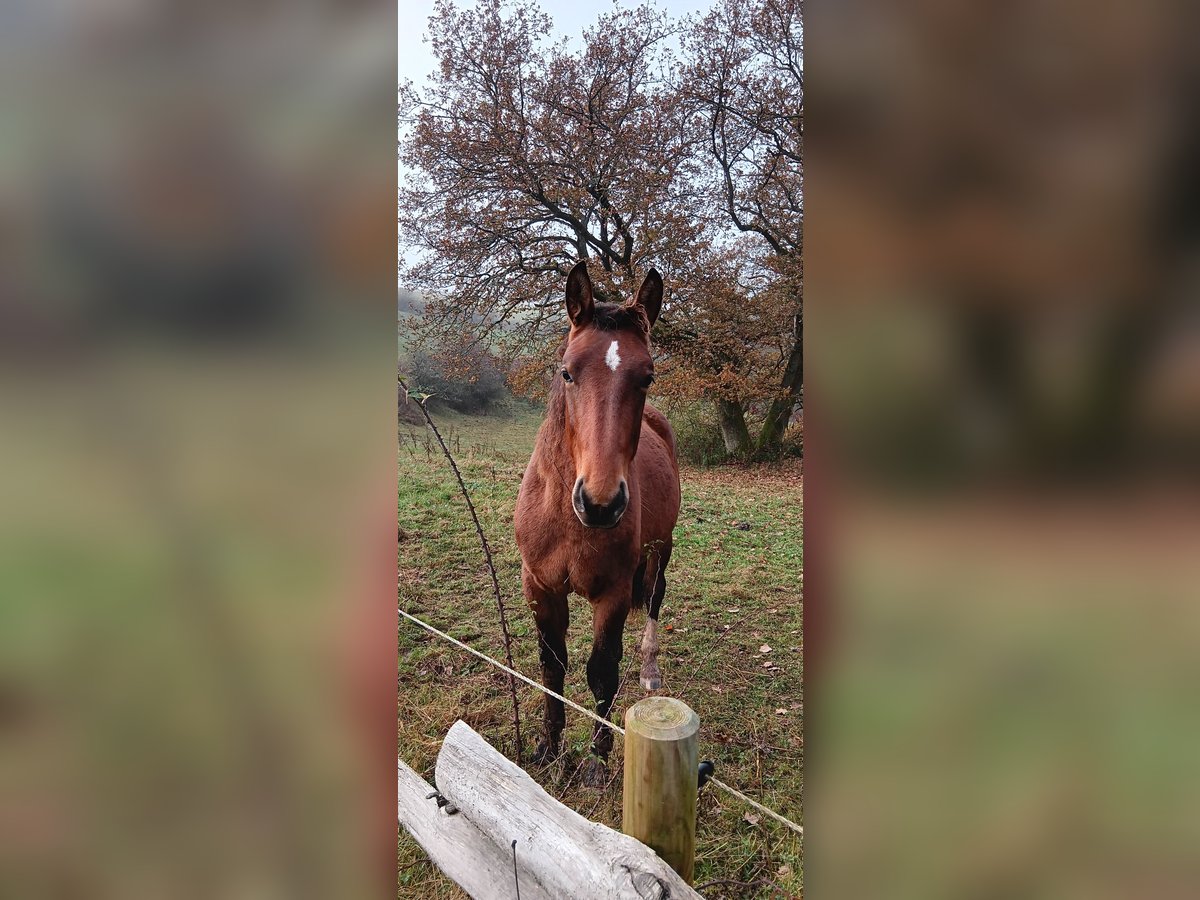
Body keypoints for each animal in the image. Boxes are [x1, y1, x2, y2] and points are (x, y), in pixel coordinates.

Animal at [516, 259, 686, 782]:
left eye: (647, 376)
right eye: (567, 372)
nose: (600, 503)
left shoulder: (611, 593)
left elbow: (601, 671)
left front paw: (597, 757)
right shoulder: (539, 585)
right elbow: (552, 663)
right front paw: (548, 747)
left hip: (661, 550)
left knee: (654, 598)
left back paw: (650, 670)